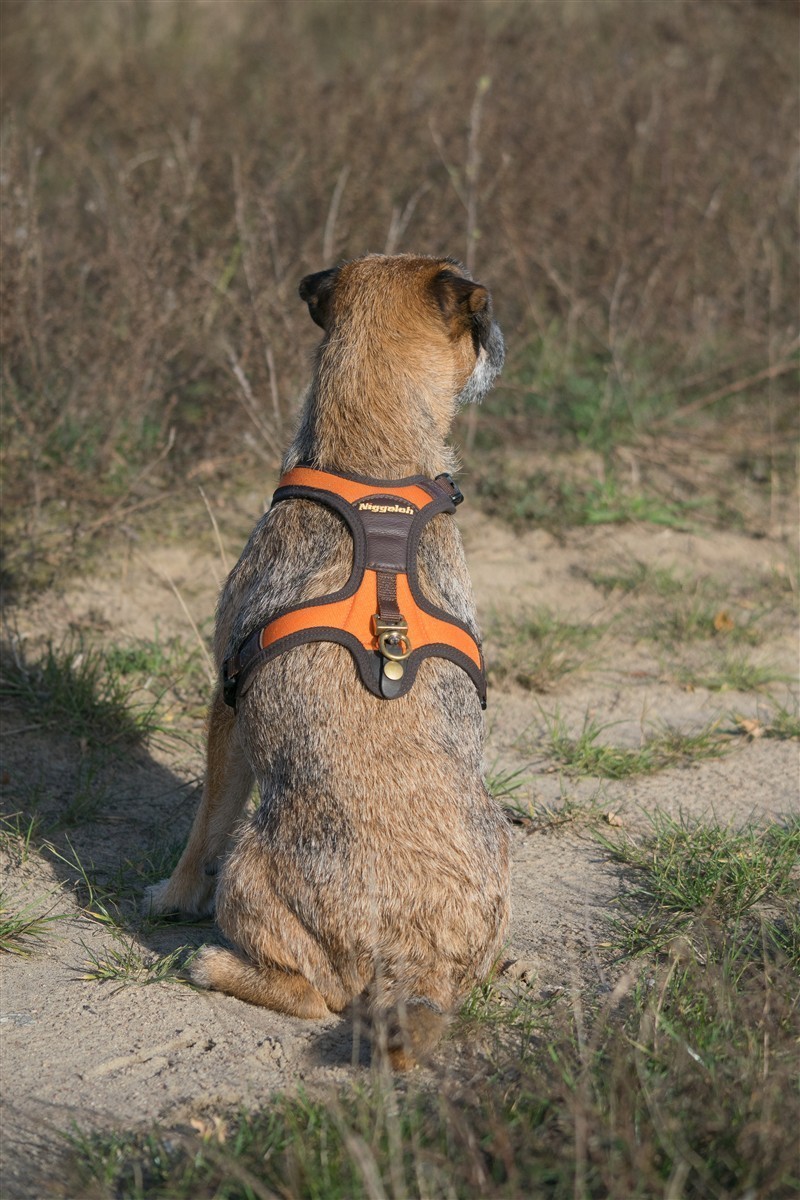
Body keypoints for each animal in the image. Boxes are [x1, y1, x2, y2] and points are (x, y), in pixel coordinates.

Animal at [144, 253, 510, 1068]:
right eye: (482, 312)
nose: (504, 339)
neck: (374, 471)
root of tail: (419, 963)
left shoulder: (224, 704)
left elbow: (203, 825)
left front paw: (173, 897)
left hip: (249, 867)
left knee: (315, 996)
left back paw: (213, 963)